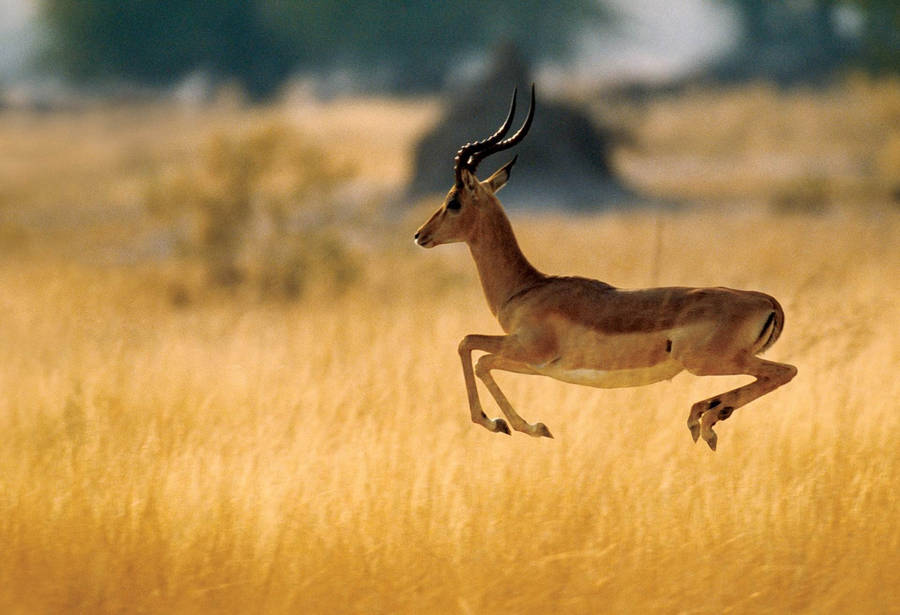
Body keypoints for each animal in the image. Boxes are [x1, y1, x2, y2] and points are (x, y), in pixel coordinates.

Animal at [413, 85, 797, 450]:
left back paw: (705, 420)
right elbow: (474, 352)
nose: (420, 235)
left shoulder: (529, 351)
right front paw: (521, 425)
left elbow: (471, 349)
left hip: (711, 362)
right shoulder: (537, 367)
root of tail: (767, 301)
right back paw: (705, 416)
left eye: (453, 200)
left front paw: (513, 425)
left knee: (784, 371)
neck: (527, 288)